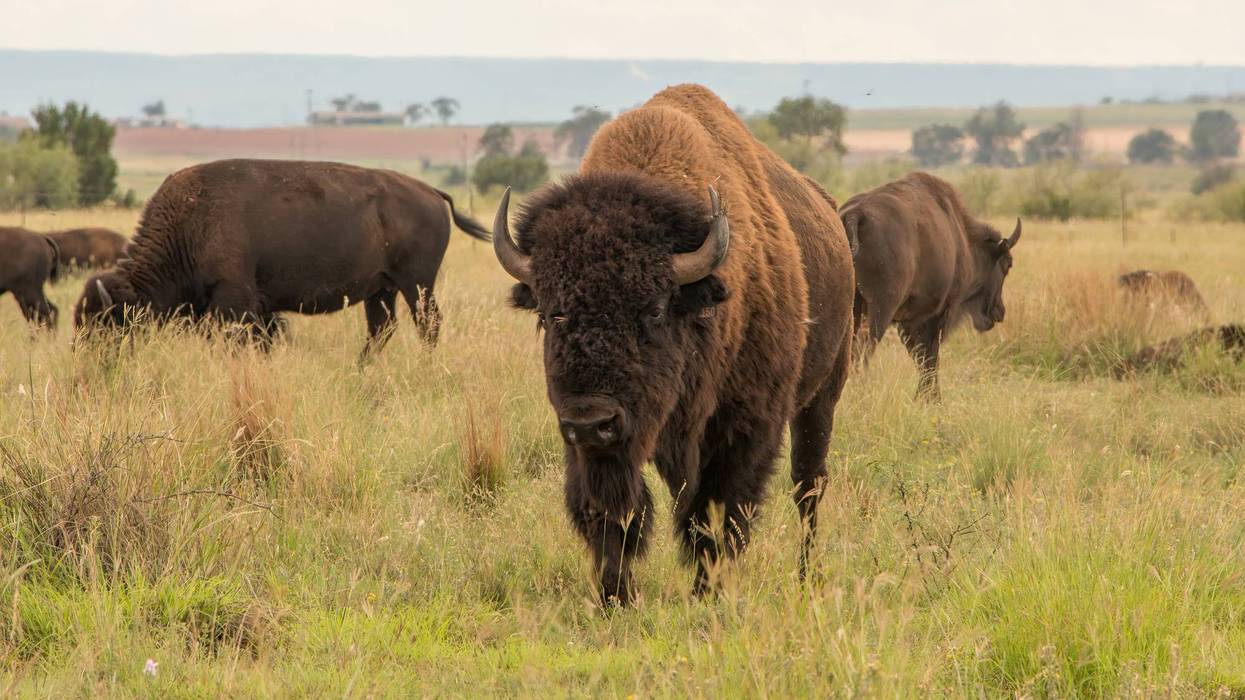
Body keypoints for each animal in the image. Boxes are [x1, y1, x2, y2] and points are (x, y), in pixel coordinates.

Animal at [74, 159, 490, 356]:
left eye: (105, 323)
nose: (92, 363)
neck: (189, 223)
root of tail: (433, 192)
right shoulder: (257, 308)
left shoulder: (232, 302)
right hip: (382, 290)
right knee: (381, 329)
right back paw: (361, 370)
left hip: (416, 284)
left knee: (428, 324)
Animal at [491, 84, 856, 605]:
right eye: (550, 314)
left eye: (654, 310)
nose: (591, 421)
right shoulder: (590, 447)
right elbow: (613, 514)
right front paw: (615, 596)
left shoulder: (744, 428)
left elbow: (717, 514)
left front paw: (709, 594)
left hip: (823, 395)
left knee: (808, 486)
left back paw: (807, 578)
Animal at [842, 172, 1020, 399]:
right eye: (1007, 265)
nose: (999, 311)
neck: (962, 238)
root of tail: (855, 214)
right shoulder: (935, 315)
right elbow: (930, 358)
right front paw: (931, 398)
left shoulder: (910, 321)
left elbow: (922, 358)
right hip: (880, 309)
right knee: (863, 349)